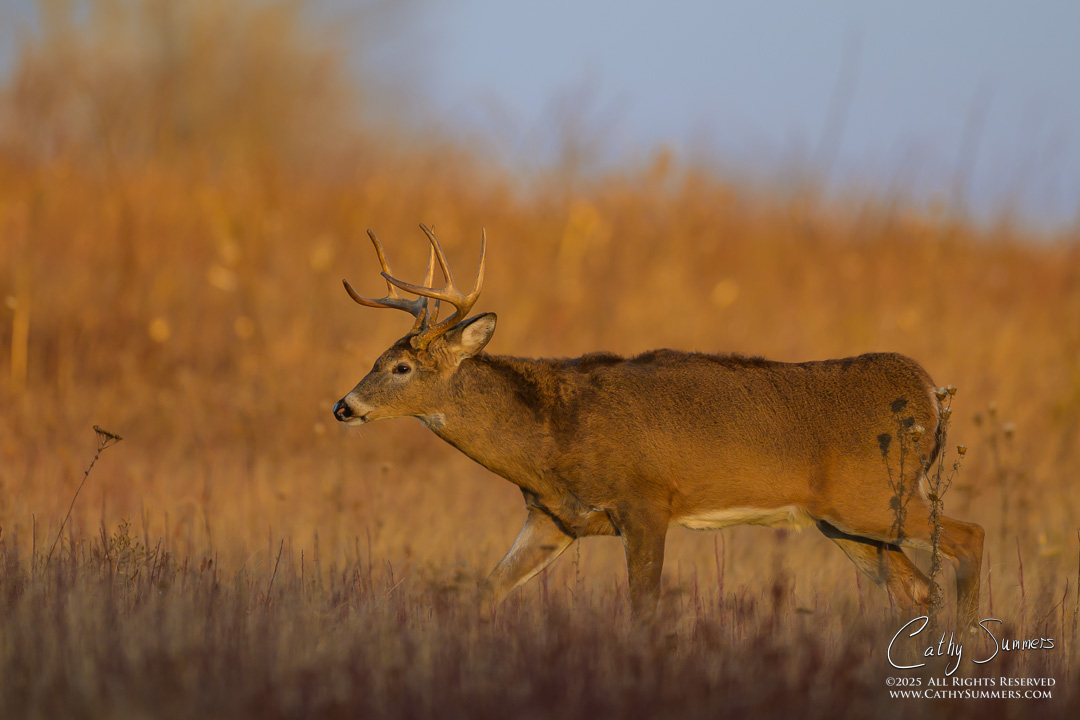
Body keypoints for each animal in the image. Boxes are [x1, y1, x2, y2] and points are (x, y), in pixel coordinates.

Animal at [332, 224, 985, 628]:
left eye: (401, 366)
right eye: (379, 358)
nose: (344, 407)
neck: (552, 435)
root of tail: (931, 394)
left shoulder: (646, 502)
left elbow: (643, 608)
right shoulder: (553, 518)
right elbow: (485, 592)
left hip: (877, 498)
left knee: (969, 537)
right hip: (845, 521)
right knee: (914, 588)